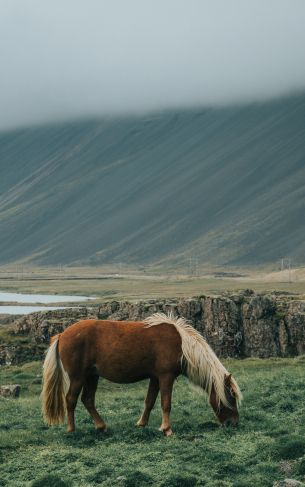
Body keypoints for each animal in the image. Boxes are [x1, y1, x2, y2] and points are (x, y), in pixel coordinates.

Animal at [41, 314, 241, 436]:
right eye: (231, 397)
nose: (234, 423)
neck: (182, 346)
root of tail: (62, 334)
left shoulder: (155, 378)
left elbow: (149, 402)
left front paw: (142, 424)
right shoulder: (166, 377)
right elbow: (166, 403)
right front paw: (167, 429)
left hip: (92, 376)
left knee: (88, 400)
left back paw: (101, 427)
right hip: (78, 377)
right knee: (71, 399)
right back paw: (72, 429)